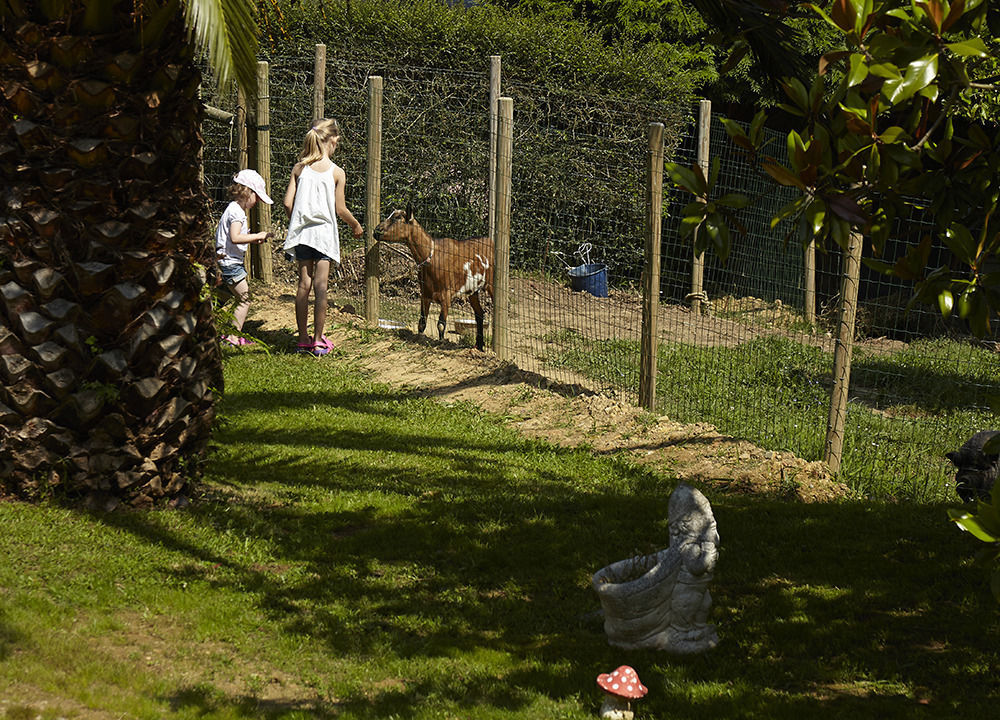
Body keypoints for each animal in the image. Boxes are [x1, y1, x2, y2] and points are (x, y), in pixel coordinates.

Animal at [374, 205, 494, 352]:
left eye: (397, 218)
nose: (376, 231)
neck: (433, 257)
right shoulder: (425, 294)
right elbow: (421, 323)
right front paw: (419, 339)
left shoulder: (446, 295)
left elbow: (441, 324)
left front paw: (441, 343)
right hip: (472, 290)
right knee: (479, 314)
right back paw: (479, 347)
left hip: (492, 285)